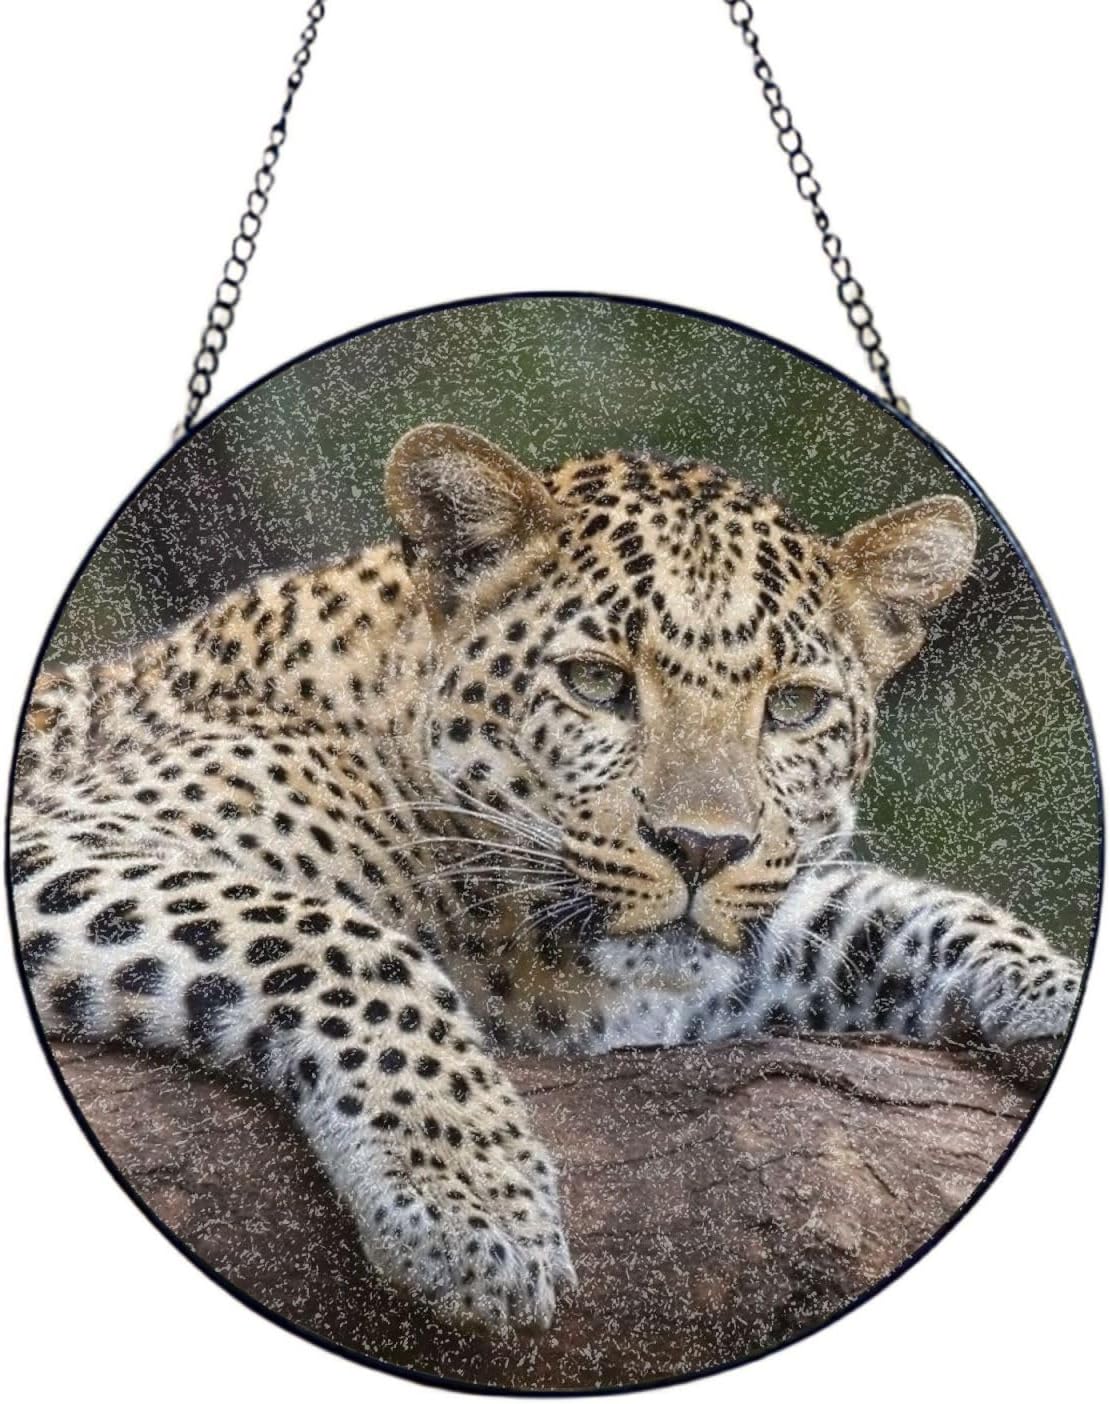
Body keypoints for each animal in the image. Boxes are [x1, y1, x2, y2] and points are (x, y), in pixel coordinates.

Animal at [9, 422, 1084, 1332]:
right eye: (598, 683)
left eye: (795, 707)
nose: (699, 848)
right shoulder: (59, 838)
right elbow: (348, 943)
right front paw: (470, 1203)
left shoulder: (695, 956)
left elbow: (866, 905)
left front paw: (1056, 989)